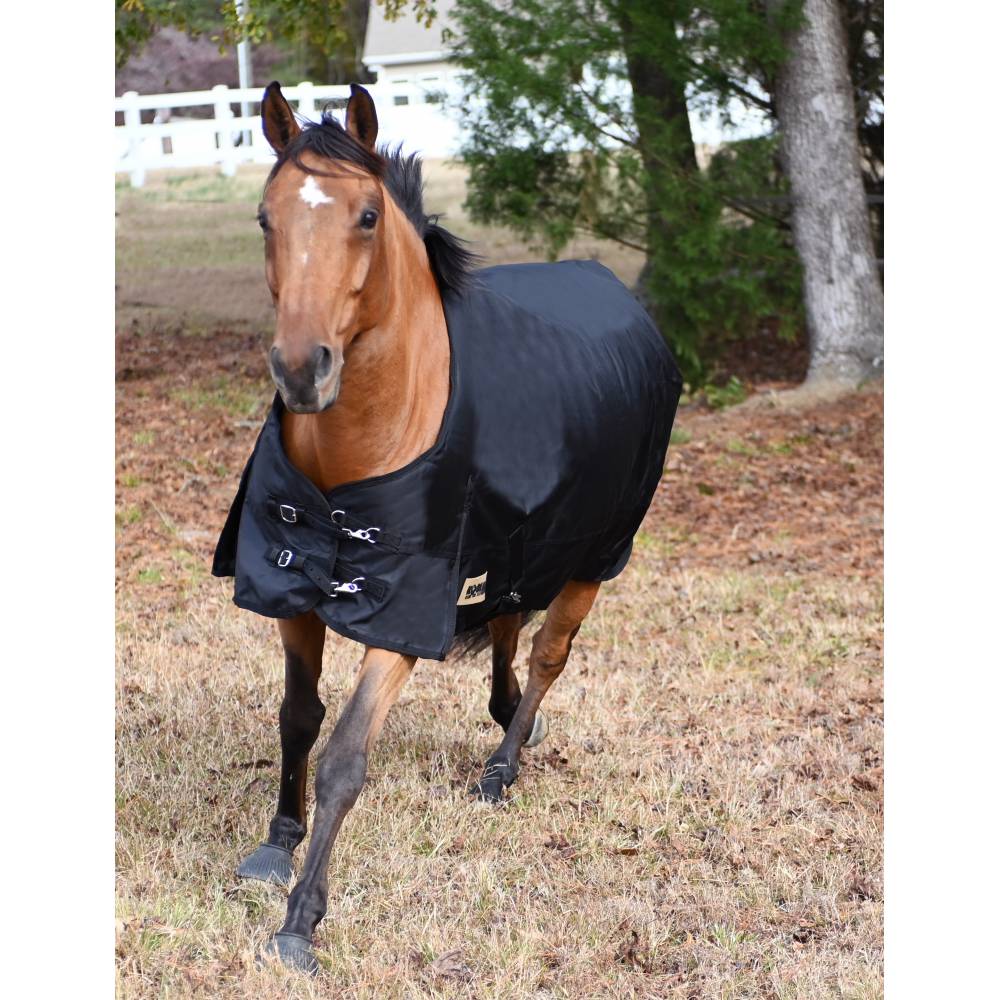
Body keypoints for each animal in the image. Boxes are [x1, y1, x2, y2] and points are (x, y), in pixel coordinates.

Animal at [211, 82, 681, 973]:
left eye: (366, 216)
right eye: (262, 217)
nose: (302, 370)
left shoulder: (403, 615)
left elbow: (346, 756)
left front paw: (300, 921)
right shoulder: (290, 591)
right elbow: (298, 717)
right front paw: (277, 843)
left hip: (595, 555)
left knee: (547, 653)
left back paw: (502, 767)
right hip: (522, 546)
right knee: (504, 621)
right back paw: (508, 722)